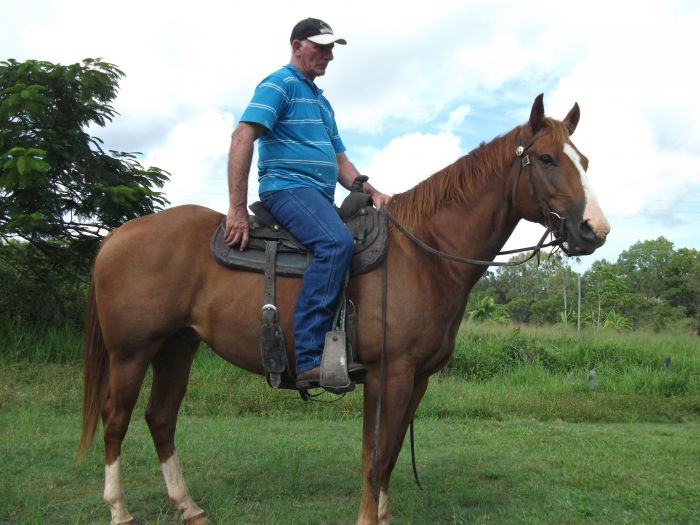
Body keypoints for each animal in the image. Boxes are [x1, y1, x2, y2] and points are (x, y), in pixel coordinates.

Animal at [78, 94, 610, 525]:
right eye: (546, 159)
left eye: (584, 160)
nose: (595, 230)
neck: (425, 254)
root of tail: (118, 237)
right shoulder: (388, 374)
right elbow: (374, 457)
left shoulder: (416, 379)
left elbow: (388, 456)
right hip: (132, 353)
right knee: (116, 420)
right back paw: (119, 510)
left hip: (177, 348)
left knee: (160, 419)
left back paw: (188, 506)